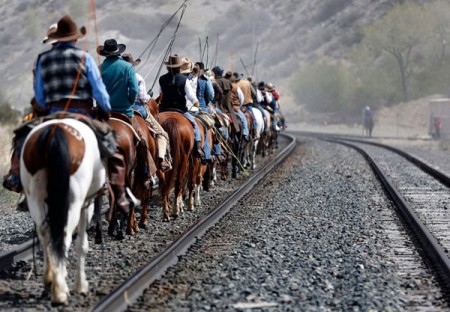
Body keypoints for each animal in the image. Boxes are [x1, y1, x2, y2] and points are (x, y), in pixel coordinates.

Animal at [21, 118, 106, 306]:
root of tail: (54, 132)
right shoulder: (85, 204)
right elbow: (81, 244)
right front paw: (80, 285)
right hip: (73, 201)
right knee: (64, 236)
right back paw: (60, 291)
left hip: (35, 197)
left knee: (45, 233)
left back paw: (50, 280)